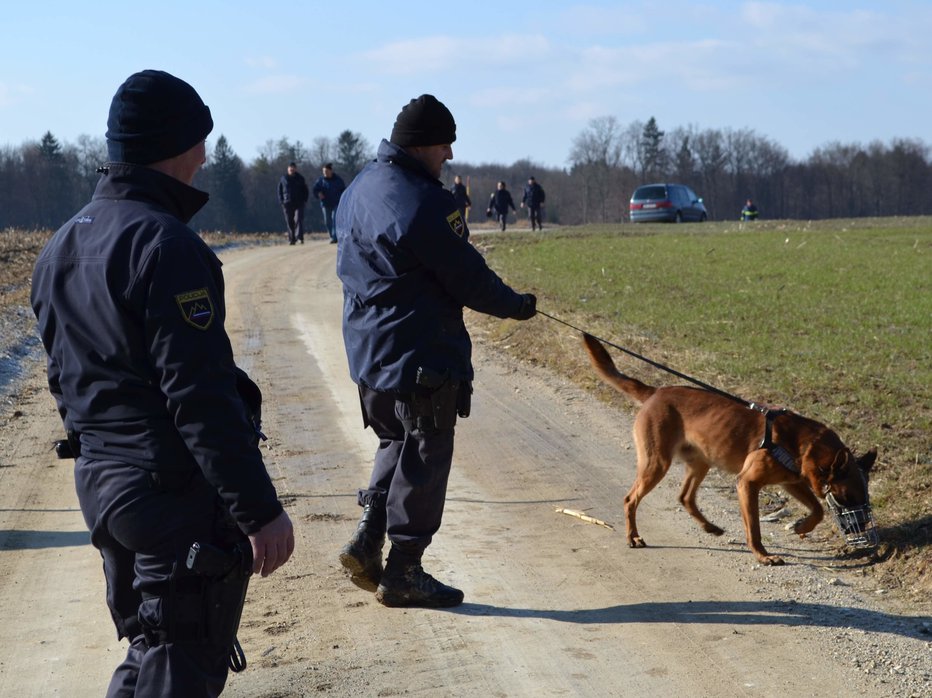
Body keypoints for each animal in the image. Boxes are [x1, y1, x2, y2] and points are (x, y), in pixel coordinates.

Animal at [31, 68, 294, 692]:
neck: (123, 192)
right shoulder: (180, 279)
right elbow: (199, 393)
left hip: (120, 546)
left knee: (140, 634)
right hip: (179, 545)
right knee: (183, 642)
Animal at [334, 95, 540, 608]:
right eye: (443, 141)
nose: (448, 156)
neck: (394, 161)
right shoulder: (441, 224)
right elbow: (466, 272)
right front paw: (518, 303)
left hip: (381, 394)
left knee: (389, 452)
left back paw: (360, 554)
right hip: (430, 397)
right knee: (424, 459)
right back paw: (407, 582)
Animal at [584, 334, 872, 564]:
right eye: (849, 496)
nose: (862, 528)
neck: (805, 444)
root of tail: (656, 392)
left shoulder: (791, 481)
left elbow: (819, 509)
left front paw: (802, 527)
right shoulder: (748, 483)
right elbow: (754, 528)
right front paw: (763, 555)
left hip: (701, 462)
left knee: (685, 497)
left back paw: (710, 527)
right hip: (656, 464)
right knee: (631, 499)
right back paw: (633, 536)